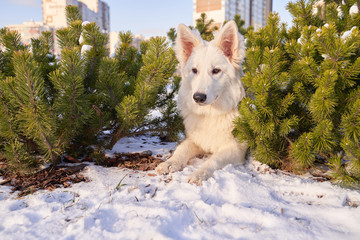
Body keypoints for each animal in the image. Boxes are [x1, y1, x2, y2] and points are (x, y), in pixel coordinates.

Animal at [156, 21, 249, 186]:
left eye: (216, 70)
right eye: (194, 70)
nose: (198, 97)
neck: (210, 114)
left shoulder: (236, 148)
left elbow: (213, 160)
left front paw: (199, 173)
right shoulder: (196, 140)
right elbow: (182, 149)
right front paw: (170, 162)